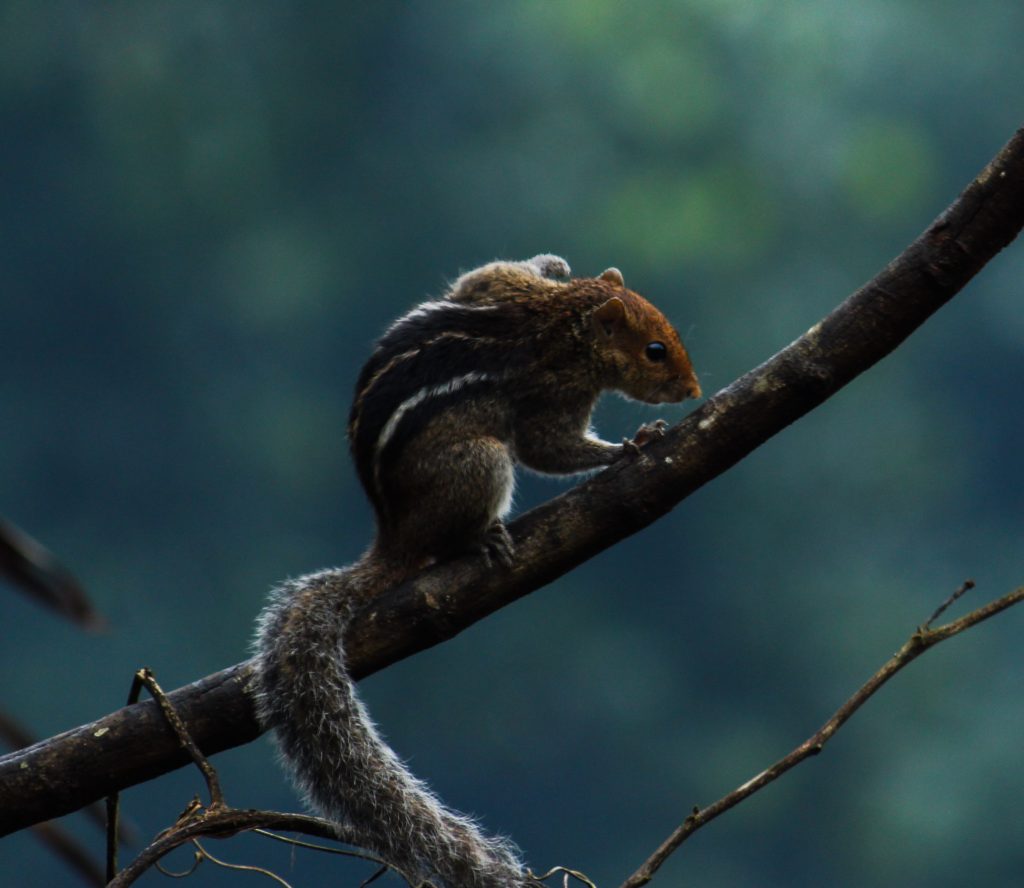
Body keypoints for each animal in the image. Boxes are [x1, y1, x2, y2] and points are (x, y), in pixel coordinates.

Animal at [253, 254, 704, 884]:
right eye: (656, 351)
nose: (694, 390)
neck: (564, 321)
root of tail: (394, 539)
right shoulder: (550, 393)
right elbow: (549, 448)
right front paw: (629, 446)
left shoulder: (502, 287)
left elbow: (486, 274)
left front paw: (553, 262)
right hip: (479, 461)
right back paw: (482, 539)